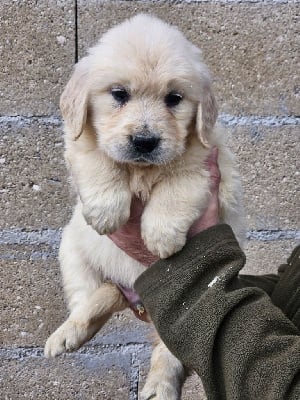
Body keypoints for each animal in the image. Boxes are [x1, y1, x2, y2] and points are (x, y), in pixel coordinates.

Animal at [45, 14, 246, 398]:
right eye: (119, 94)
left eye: (174, 99)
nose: (144, 141)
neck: (141, 169)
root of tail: (135, 296)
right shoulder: (82, 143)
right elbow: (99, 159)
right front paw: (107, 210)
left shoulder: (203, 163)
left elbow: (175, 188)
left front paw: (161, 239)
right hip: (72, 249)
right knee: (91, 297)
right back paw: (66, 335)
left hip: (185, 317)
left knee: (170, 353)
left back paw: (159, 388)